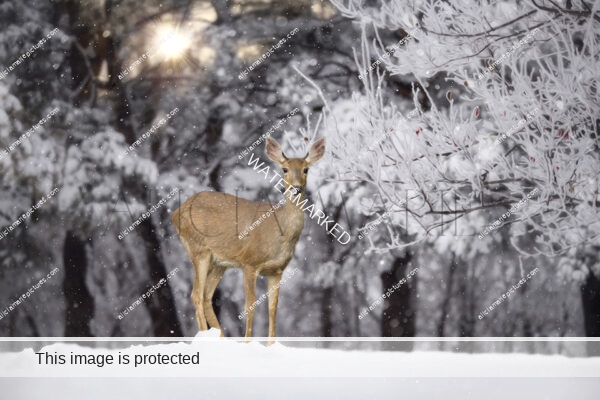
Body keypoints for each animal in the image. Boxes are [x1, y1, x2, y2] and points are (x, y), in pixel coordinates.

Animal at [171, 137, 326, 344]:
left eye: (306, 169)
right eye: (284, 169)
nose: (296, 188)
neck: (280, 235)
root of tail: (175, 213)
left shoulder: (277, 270)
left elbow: (272, 308)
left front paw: (270, 345)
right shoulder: (249, 262)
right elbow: (250, 305)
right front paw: (248, 343)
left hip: (220, 262)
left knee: (206, 296)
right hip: (198, 249)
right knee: (196, 294)